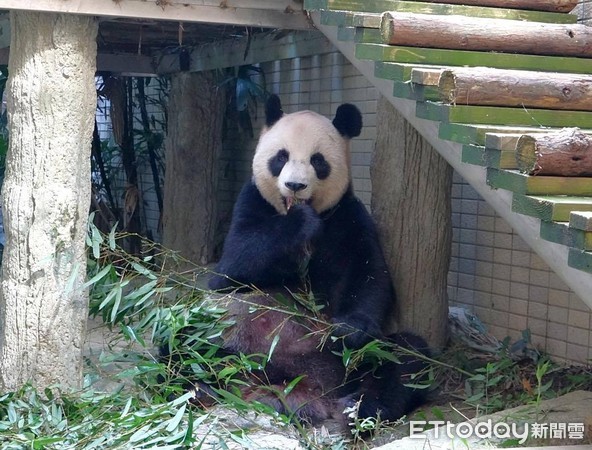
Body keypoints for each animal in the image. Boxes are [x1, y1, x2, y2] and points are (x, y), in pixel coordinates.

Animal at [201, 95, 428, 426]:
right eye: (280, 157)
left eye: (317, 161)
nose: (295, 185)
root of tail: (300, 388)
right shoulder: (250, 201)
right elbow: (232, 267)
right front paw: (301, 222)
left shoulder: (348, 216)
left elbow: (369, 275)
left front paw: (348, 328)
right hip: (231, 336)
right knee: (187, 340)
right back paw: (199, 386)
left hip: (354, 363)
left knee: (405, 358)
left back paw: (360, 408)